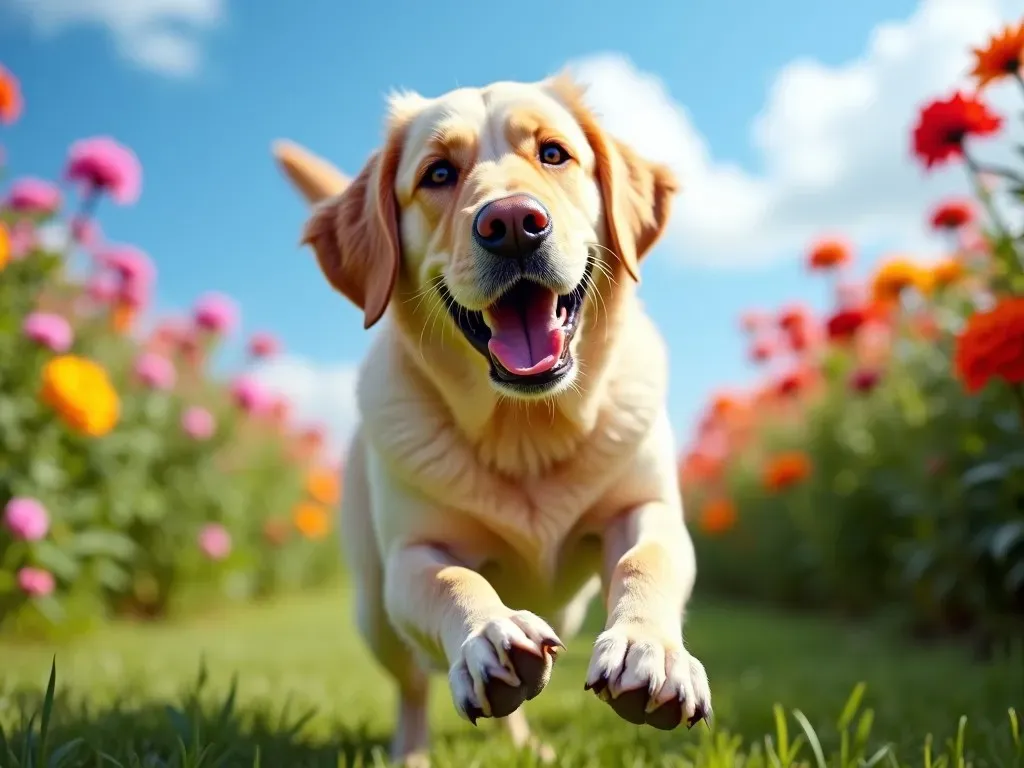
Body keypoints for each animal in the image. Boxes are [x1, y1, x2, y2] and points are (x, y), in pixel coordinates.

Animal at [270, 73, 712, 768]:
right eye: (438, 173)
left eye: (554, 153)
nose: (511, 224)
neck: (526, 431)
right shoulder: (412, 557)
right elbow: (454, 578)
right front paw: (488, 634)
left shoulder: (645, 509)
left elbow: (646, 561)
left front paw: (652, 651)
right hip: (373, 612)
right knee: (411, 687)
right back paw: (411, 752)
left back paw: (529, 744)